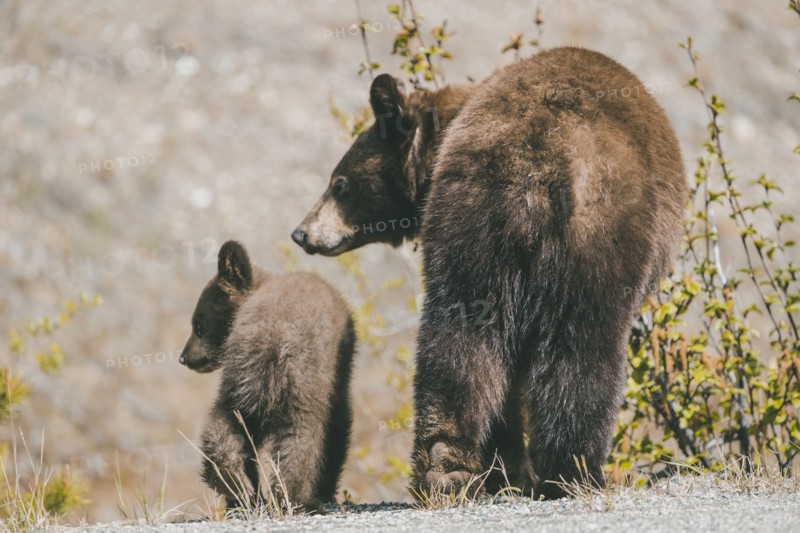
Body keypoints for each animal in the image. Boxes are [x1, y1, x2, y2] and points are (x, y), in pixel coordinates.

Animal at [179, 240, 356, 511]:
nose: (184, 357)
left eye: (198, 326)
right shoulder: (339, 367)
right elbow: (339, 421)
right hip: (301, 380)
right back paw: (293, 497)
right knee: (300, 434)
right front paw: (325, 490)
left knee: (224, 423)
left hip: (239, 380)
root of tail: (267, 336)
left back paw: (236, 485)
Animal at [292, 46, 687, 499]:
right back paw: (572, 472)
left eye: (339, 184)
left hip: (470, 223)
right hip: (595, 235)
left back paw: (447, 468)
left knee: (459, 341)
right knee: (583, 347)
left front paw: (505, 471)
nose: (301, 232)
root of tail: (535, 162)